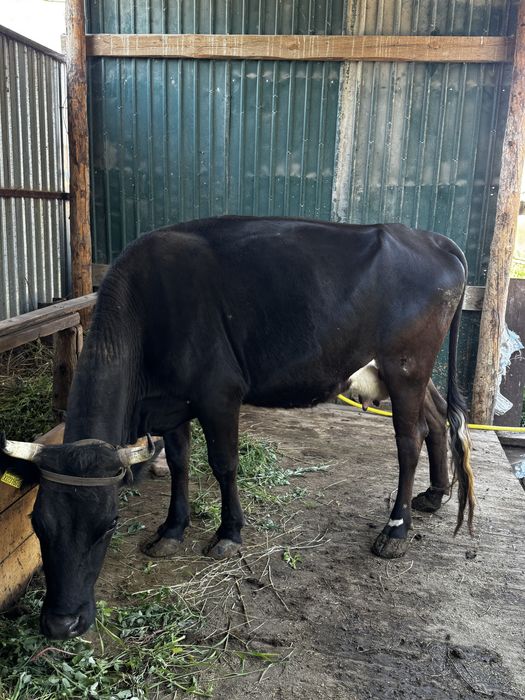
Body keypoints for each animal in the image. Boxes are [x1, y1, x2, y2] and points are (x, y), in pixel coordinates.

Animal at [0, 216, 474, 640]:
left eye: (109, 525)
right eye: (39, 525)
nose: (62, 623)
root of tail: (432, 238)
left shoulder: (219, 394)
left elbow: (223, 464)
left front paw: (228, 534)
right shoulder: (173, 404)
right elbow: (179, 463)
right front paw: (171, 530)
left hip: (406, 365)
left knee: (409, 441)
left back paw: (395, 530)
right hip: (412, 372)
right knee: (435, 421)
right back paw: (434, 494)